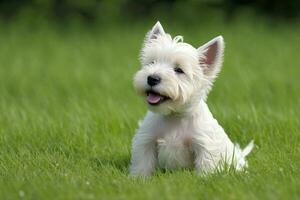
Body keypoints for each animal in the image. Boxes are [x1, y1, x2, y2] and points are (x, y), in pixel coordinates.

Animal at [129, 21, 253, 176]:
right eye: (152, 62)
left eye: (179, 70)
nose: (152, 78)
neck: (174, 117)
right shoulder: (146, 140)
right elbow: (143, 163)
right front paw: (139, 178)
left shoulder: (204, 145)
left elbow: (205, 165)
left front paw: (204, 178)